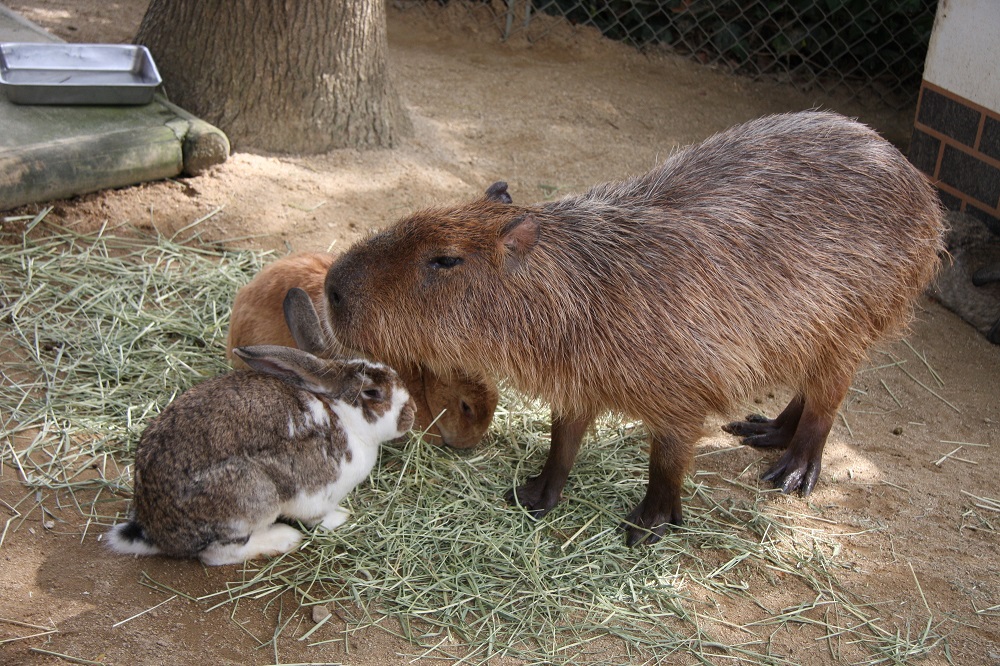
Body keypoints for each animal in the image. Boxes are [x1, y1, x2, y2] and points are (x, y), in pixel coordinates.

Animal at [108, 342, 418, 564]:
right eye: (373, 393)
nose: (411, 413)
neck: (341, 414)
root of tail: (154, 532)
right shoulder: (317, 492)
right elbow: (318, 516)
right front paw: (341, 518)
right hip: (252, 497)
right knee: (219, 554)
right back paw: (283, 538)